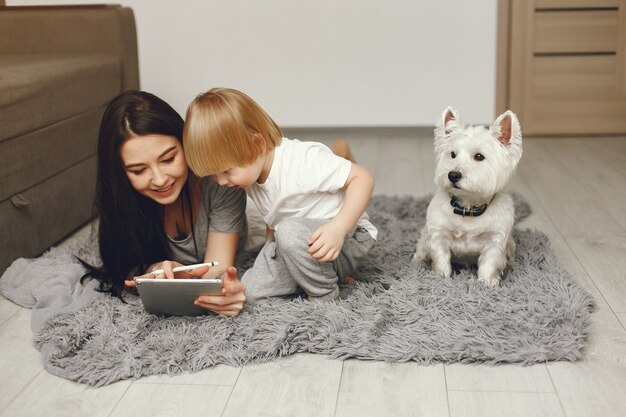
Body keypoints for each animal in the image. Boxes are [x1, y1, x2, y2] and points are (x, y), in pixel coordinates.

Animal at [414, 106, 520, 286]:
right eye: (452, 154)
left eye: (479, 156)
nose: (453, 175)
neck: (468, 207)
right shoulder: (438, 235)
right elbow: (441, 260)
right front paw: (440, 279)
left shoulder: (495, 240)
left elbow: (490, 263)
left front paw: (487, 283)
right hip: (425, 238)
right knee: (421, 250)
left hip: (510, 244)